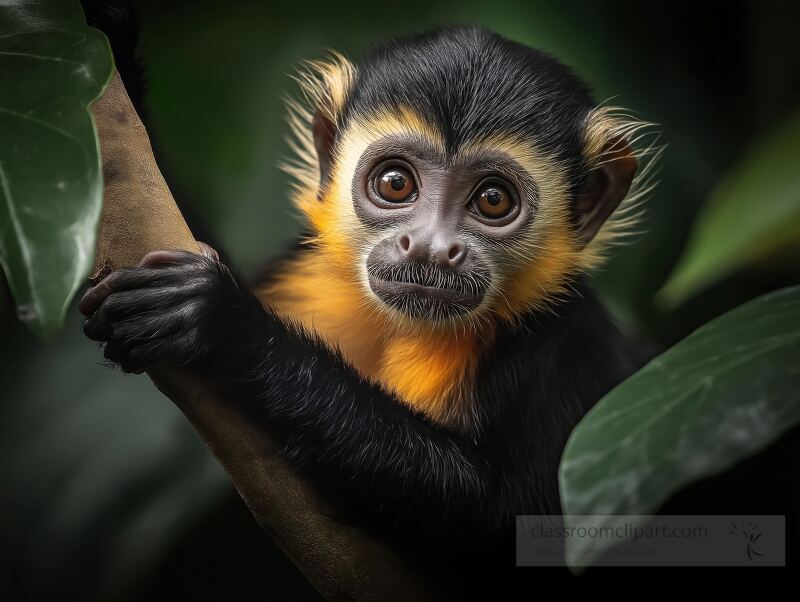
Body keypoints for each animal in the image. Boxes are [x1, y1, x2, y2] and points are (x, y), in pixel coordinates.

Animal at [78, 17, 652, 584]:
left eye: (493, 199)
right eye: (396, 183)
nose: (430, 248)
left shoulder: (555, 349)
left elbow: (506, 524)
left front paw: (223, 324)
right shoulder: (300, 275)